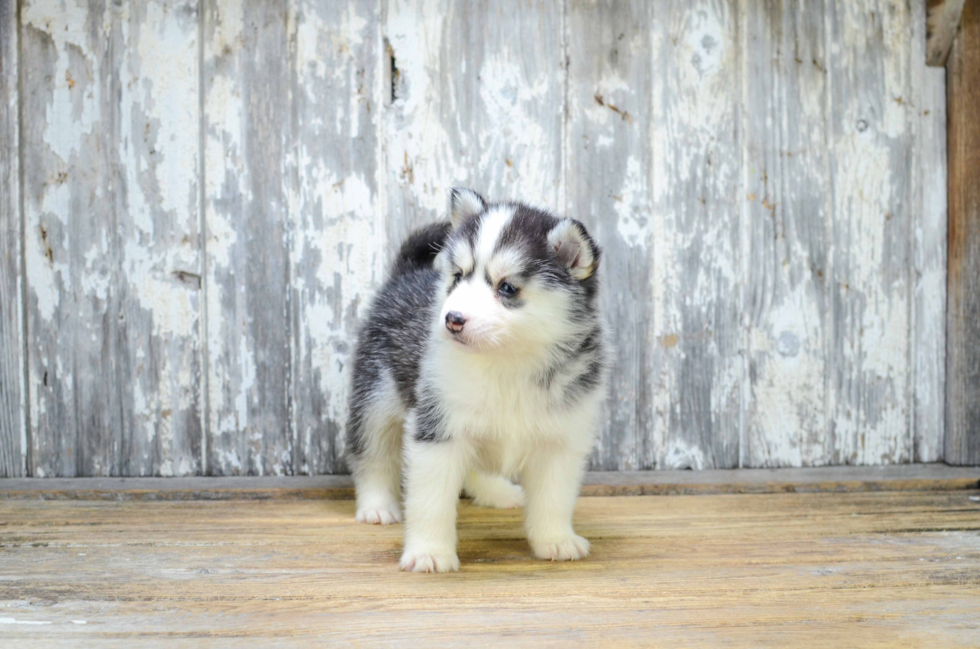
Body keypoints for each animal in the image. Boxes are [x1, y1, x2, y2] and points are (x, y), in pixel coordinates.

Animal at [344, 187, 604, 572]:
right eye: (457, 277)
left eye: (507, 287)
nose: (452, 318)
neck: (507, 362)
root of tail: (406, 275)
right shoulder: (437, 429)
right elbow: (431, 502)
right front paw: (429, 552)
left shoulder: (561, 439)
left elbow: (553, 499)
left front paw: (555, 539)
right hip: (376, 397)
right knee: (372, 454)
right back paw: (376, 505)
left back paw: (496, 492)